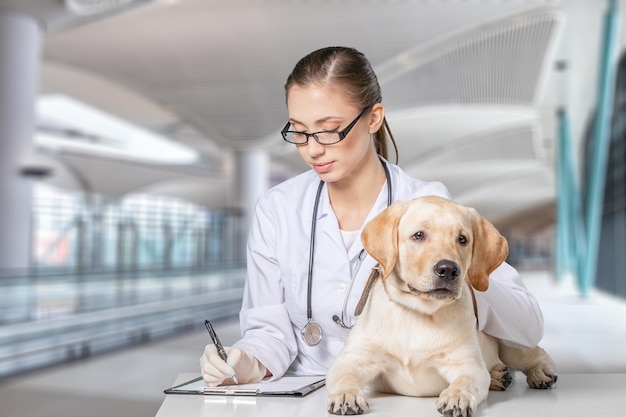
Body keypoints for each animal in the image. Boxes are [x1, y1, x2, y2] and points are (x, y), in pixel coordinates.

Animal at [324, 195, 552, 416]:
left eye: (462, 239)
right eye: (418, 235)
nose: (448, 269)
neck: (418, 312)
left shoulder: (467, 365)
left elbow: (465, 381)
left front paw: (457, 397)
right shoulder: (352, 359)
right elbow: (345, 377)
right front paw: (346, 395)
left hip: (511, 340)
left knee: (536, 353)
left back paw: (540, 372)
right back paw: (497, 376)